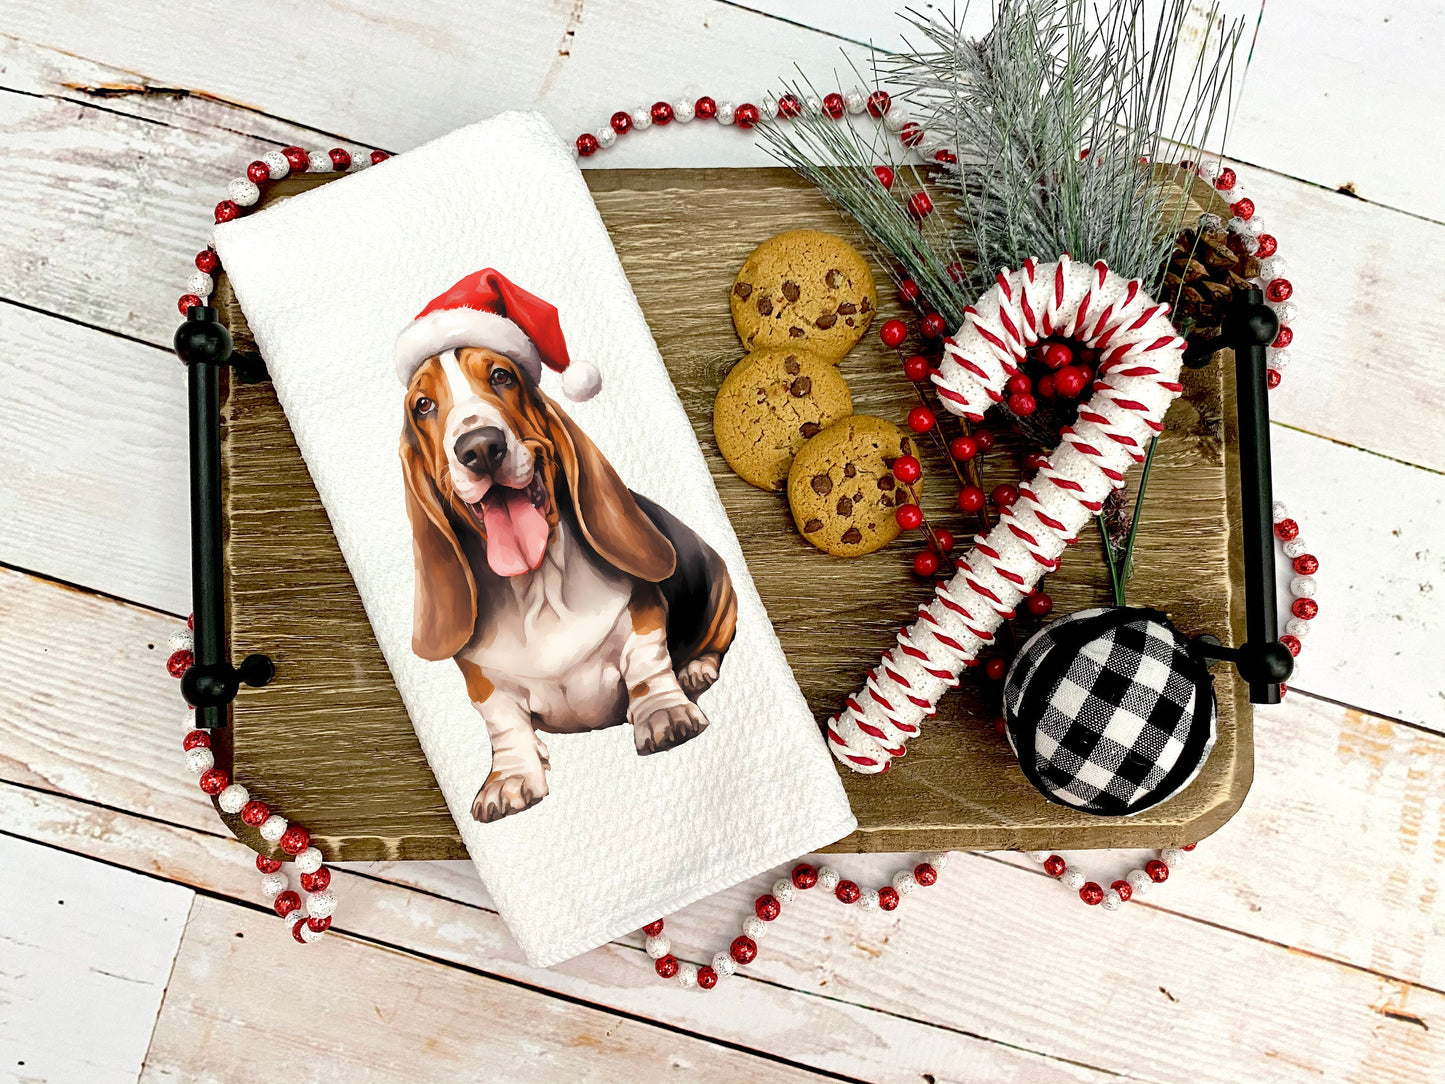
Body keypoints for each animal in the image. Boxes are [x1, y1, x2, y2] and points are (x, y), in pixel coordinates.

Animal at [401, 348, 739, 820]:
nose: (480, 447)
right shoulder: (485, 684)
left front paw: (663, 714)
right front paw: (509, 777)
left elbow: (646, 665)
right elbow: (504, 724)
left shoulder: (643, 614)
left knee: (712, 645)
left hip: (724, 594)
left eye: (502, 376)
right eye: (422, 405)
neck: (538, 586)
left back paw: (694, 671)